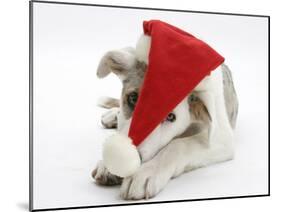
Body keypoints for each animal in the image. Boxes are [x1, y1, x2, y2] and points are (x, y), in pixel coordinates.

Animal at [91, 35, 236, 200]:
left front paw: (147, 171)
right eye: (133, 98)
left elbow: (178, 145)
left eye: (170, 116)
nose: (121, 160)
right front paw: (106, 165)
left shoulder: (222, 138)